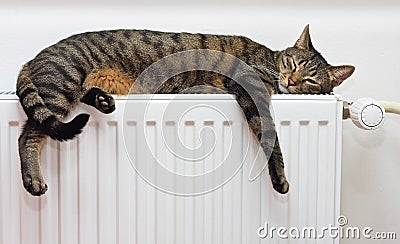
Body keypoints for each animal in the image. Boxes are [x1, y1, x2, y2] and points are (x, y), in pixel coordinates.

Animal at [15, 24, 354, 196]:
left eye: (311, 79)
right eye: (292, 62)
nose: (291, 80)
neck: (271, 63)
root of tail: (33, 58)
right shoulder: (251, 88)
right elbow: (269, 134)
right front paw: (280, 177)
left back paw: (101, 100)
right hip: (61, 86)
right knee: (28, 135)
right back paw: (33, 180)